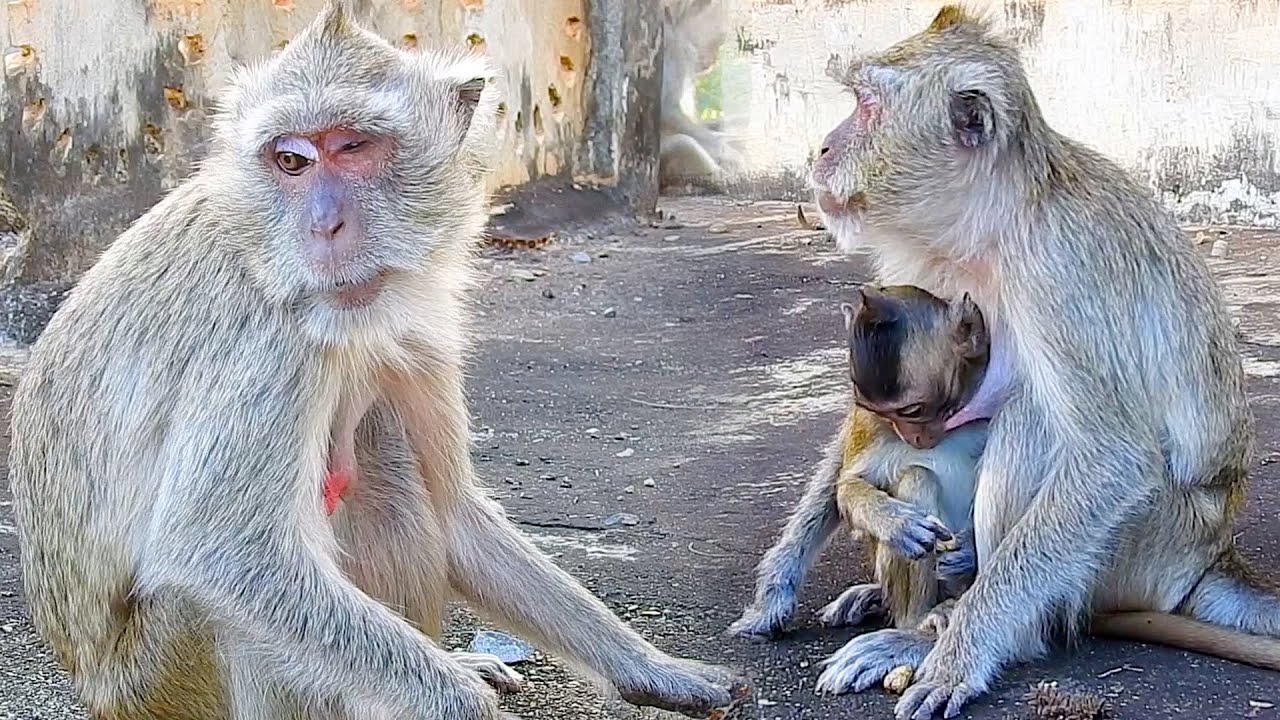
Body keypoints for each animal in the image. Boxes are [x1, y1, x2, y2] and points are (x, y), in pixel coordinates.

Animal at [6, 4, 746, 720]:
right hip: (162, 681)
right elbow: (219, 551)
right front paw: (462, 702)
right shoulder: (269, 342)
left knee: (385, 459)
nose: (324, 226)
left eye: (354, 148)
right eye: (292, 162)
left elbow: (454, 511)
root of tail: (93, 688)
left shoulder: (419, 328)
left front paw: (651, 667)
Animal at [728, 283, 987, 648]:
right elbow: (848, 485)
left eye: (911, 411)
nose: (913, 438)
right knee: (917, 478)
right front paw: (896, 523)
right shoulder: (869, 425)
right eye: (882, 413)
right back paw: (918, 617)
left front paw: (968, 551)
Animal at [807, 5, 1280, 718]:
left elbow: (1114, 458)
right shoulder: (920, 265)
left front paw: (958, 657)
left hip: (1146, 550)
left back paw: (942, 635)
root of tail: (1212, 555)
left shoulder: (1059, 271)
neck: (997, 220)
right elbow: (864, 431)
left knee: (1036, 419)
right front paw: (783, 577)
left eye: (865, 106)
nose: (822, 148)